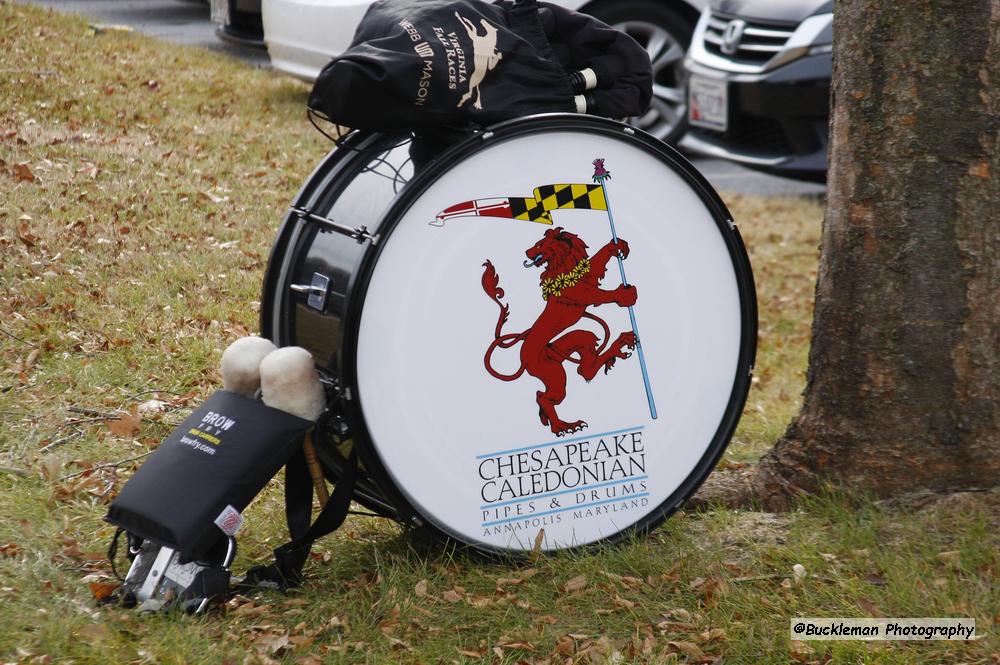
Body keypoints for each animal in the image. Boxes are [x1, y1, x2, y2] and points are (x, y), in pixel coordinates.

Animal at [480, 227, 636, 436]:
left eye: (539, 244)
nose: (526, 252)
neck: (564, 268)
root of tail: (523, 356)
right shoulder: (578, 293)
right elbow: (601, 295)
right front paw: (626, 295)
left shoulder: (587, 276)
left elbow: (597, 262)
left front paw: (615, 246)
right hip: (554, 375)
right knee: (544, 396)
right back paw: (564, 425)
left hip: (569, 348)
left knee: (585, 370)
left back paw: (624, 342)